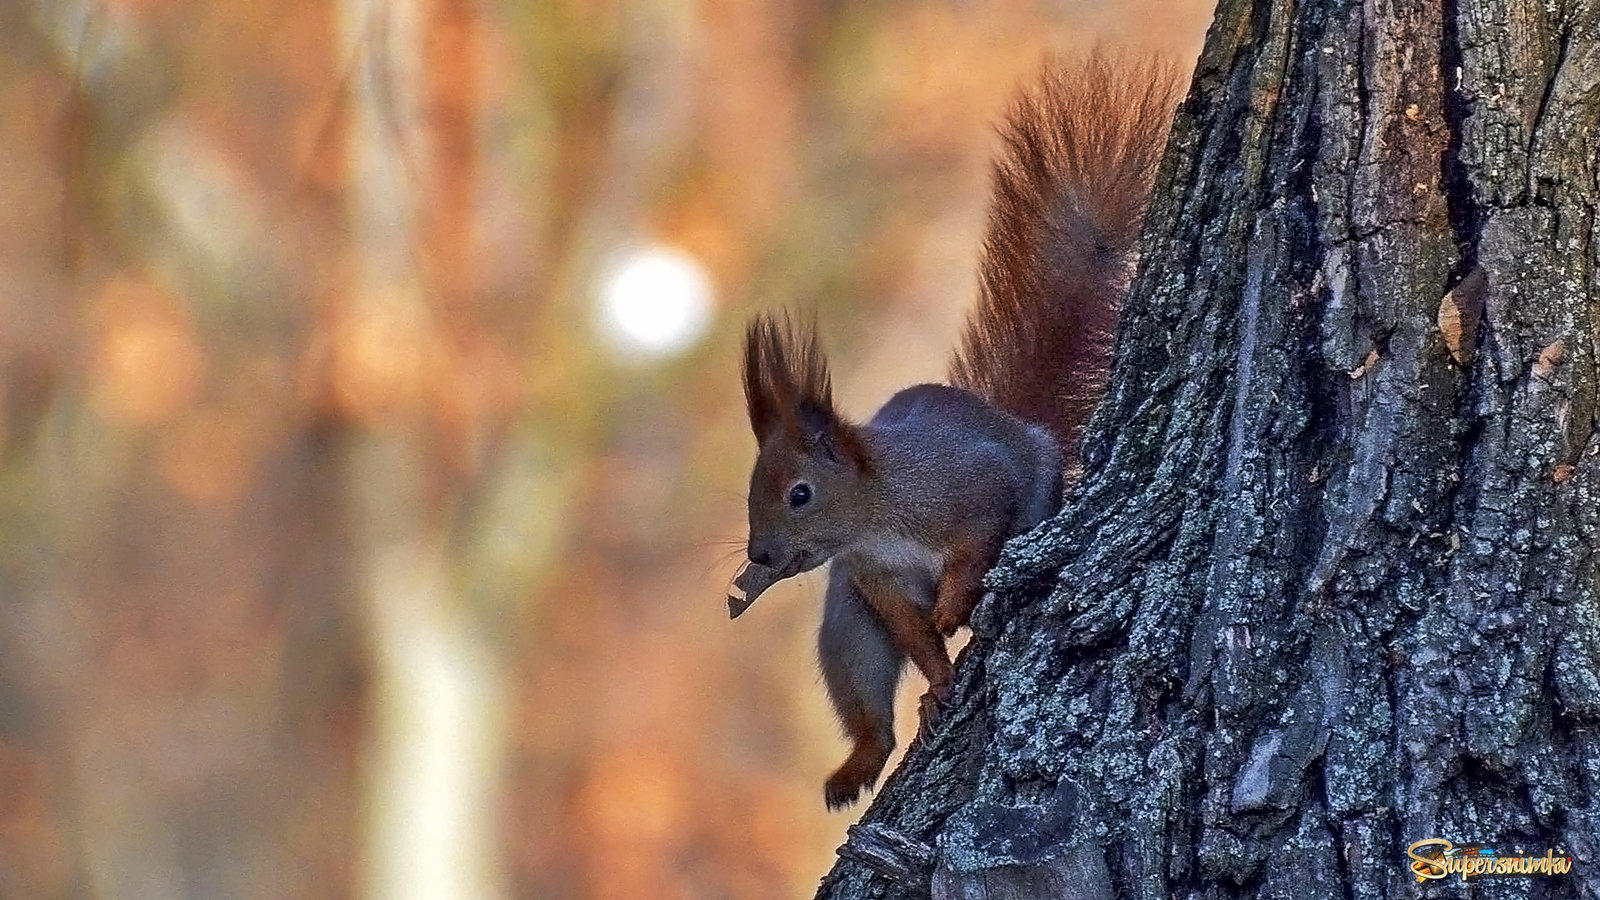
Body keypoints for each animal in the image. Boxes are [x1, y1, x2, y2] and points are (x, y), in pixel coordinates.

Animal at [732, 54, 1177, 807]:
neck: (877, 517)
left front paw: (953, 605)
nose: (760, 556)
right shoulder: (875, 580)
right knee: (867, 702)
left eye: (799, 493)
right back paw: (859, 763)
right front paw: (938, 683)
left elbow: (975, 542)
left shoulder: (970, 487)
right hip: (846, 619)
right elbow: (914, 638)